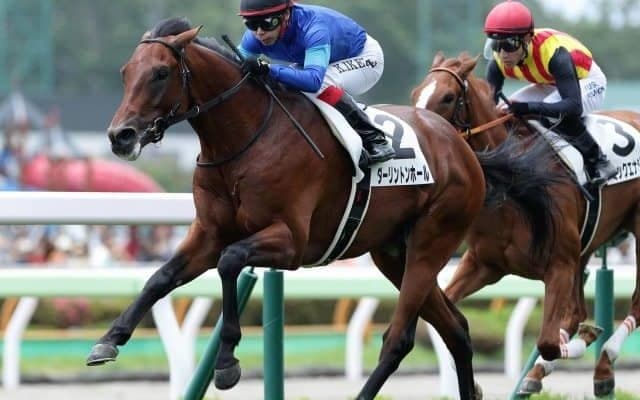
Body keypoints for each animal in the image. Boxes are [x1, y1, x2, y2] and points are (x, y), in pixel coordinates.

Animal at [86, 18, 558, 400]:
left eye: (161, 72)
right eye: (126, 72)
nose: (120, 136)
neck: (243, 138)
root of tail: (462, 147)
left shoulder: (291, 242)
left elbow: (229, 262)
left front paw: (227, 361)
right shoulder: (208, 233)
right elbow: (159, 278)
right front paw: (109, 339)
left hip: (432, 241)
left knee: (400, 338)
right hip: (394, 254)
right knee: (456, 329)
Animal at [412, 51, 640, 396]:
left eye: (448, 97)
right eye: (416, 93)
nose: (419, 136)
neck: (513, 180)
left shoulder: (559, 264)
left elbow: (547, 341)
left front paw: (584, 340)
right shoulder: (484, 263)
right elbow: (441, 321)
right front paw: (473, 384)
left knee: (634, 303)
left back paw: (604, 364)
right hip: (585, 247)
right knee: (577, 311)